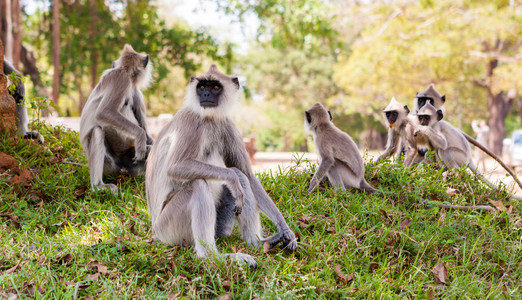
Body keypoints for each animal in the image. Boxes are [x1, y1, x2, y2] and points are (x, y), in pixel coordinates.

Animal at [79, 45, 152, 195]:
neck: (126, 72)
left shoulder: (134, 90)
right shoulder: (121, 79)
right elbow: (104, 112)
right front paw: (140, 136)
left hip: (132, 163)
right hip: (109, 164)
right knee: (98, 130)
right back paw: (97, 186)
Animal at [144, 63, 296, 270]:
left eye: (215, 87)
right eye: (202, 87)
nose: (206, 95)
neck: (209, 118)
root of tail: (156, 232)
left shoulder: (226, 123)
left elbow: (247, 174)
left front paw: (285, 228)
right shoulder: (191, 121)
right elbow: (175, 167)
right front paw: (231, 178)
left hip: (220, 226)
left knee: (241, 178)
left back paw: (257, 243)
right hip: (169, 228)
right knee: (199, 185)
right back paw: (212, 258)